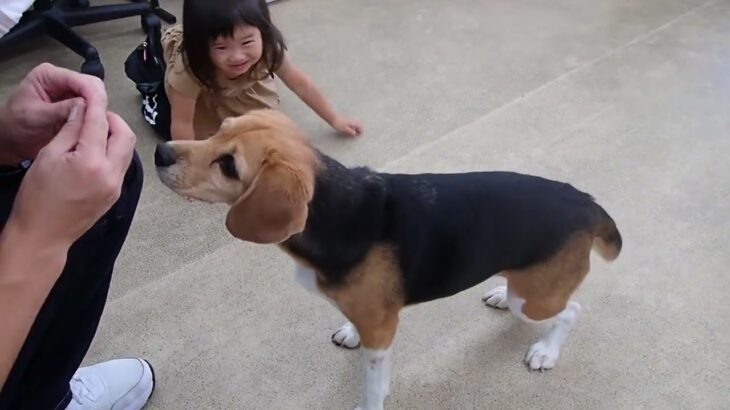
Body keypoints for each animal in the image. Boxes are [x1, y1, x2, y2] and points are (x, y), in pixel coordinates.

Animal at [154, 109, 620, 410]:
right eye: (219, 129)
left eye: (229, 166)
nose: (160, 152)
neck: (335, 210)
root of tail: (585, 202)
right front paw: (348, 331)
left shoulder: (381, 331)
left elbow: (373, 386)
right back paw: (501, 294)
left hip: (537, 301)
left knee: (572, 310)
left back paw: (546, 351)